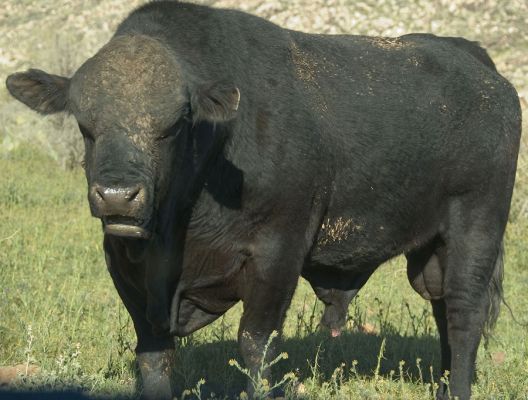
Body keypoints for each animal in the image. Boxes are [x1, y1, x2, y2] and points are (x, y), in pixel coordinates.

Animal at [5, 1, 524, 398]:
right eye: (85, 125)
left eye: (173, 125)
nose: (118, 196)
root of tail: (480, 67)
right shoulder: (125, 264)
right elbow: (153, 356)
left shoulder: (278, 254)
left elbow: (257, 345)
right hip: (431, 251)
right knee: (443, 311)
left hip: (476, 228)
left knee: (463, 314)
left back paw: (457, 389)